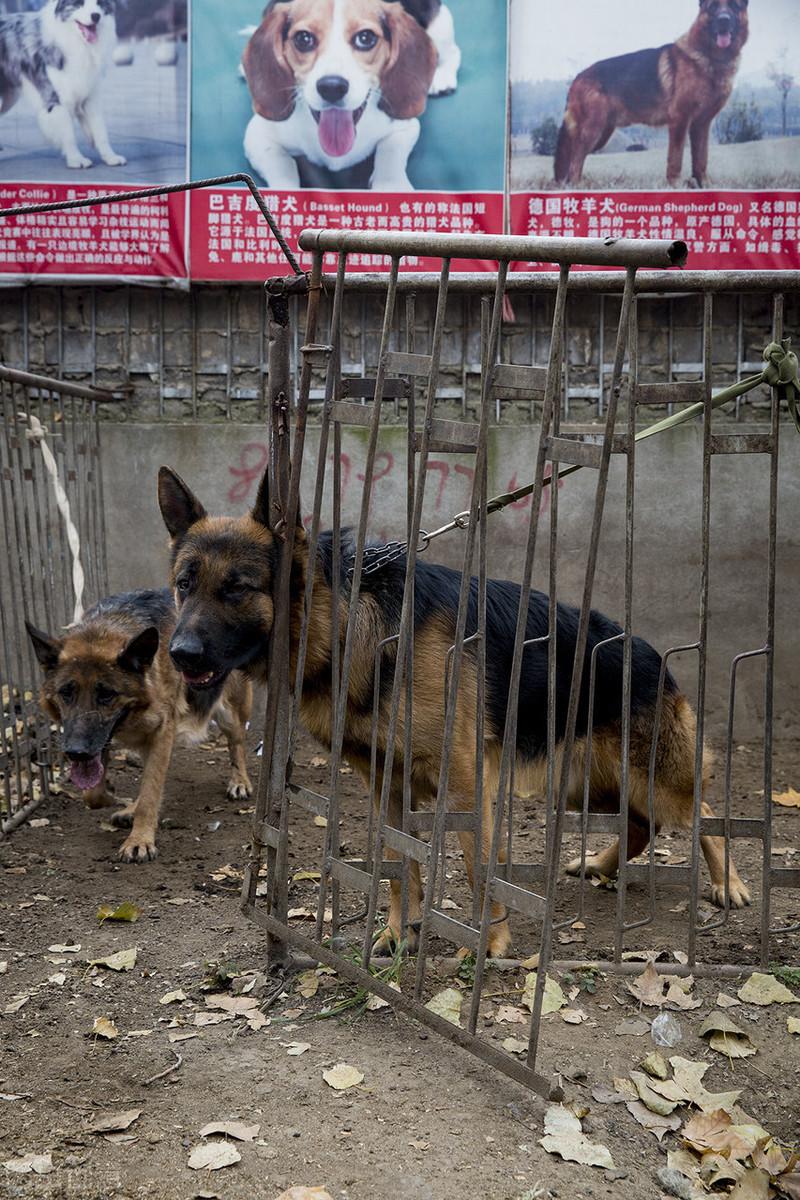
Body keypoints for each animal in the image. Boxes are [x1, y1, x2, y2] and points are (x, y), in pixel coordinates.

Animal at [27, 590, 253, 864]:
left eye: (107, 694)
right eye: (66, 693)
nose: (76, 752)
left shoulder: (162, 731)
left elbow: (150, 791)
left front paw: (139, 841)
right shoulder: (103, 739)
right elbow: (94, 794)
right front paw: (112, 795)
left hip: (230, 712)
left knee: (237, 744)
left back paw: (240, 781)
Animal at [160, 465, 753, 955]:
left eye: (237, 588)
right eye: (184, 585)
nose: (179, 653)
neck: (348, 623)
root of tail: (649, 652)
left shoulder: (467, 780)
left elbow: (476, 865)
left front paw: (489, 945)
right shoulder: (386, 784)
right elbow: (400, 864)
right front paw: (400, 933)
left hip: (648, 775)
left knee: (701, 813)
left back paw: (729, 884)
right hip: (582, 780)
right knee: (641, 825)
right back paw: (600, 865)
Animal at [556, 0, 753, 187]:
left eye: (734, 5)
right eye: (713, 7)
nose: (723, 20)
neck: (710, 58)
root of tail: (577, 78)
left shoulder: (702, 124)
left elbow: (701, 159)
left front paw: (703, 184)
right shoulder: (680, 120)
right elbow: (675, 158)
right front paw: (675, 185)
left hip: (602, 133)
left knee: (576, 160)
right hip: (593, 131)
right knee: (575, 159)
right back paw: (577, 185)